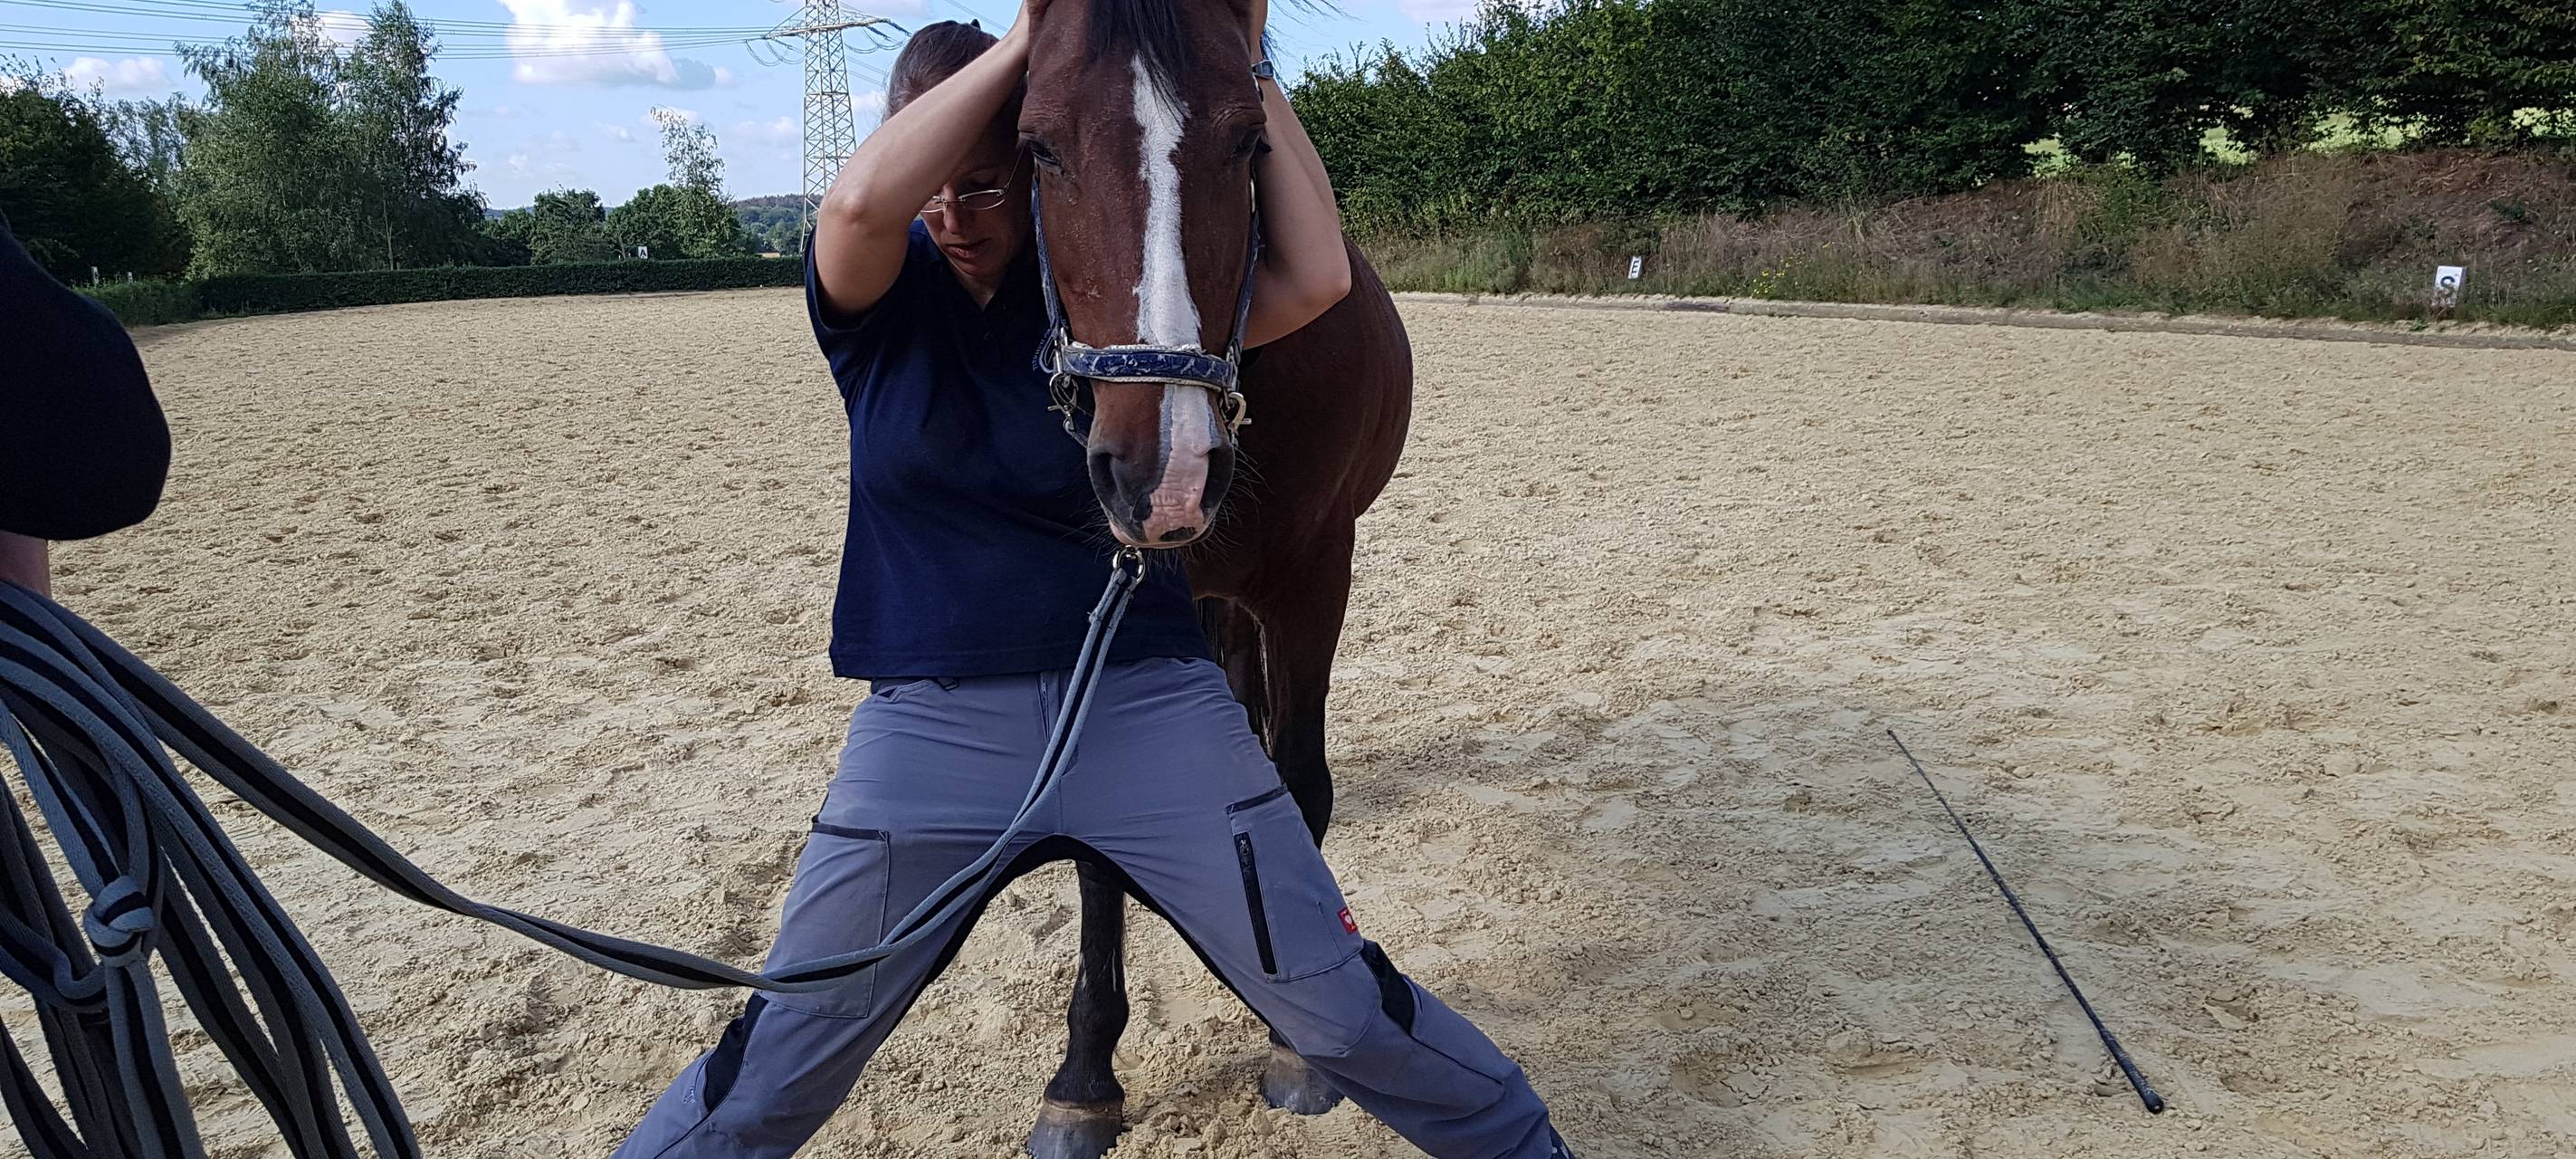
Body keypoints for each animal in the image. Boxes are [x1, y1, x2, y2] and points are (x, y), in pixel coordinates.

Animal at [1015, 0, 1414, 1154]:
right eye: (1037, 145)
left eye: (1249, 143)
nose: (1167, 468)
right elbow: (1096, 845)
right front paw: (1083, 1073)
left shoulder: (1315, 580)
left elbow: (1302, 779)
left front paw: (1297, 1036)